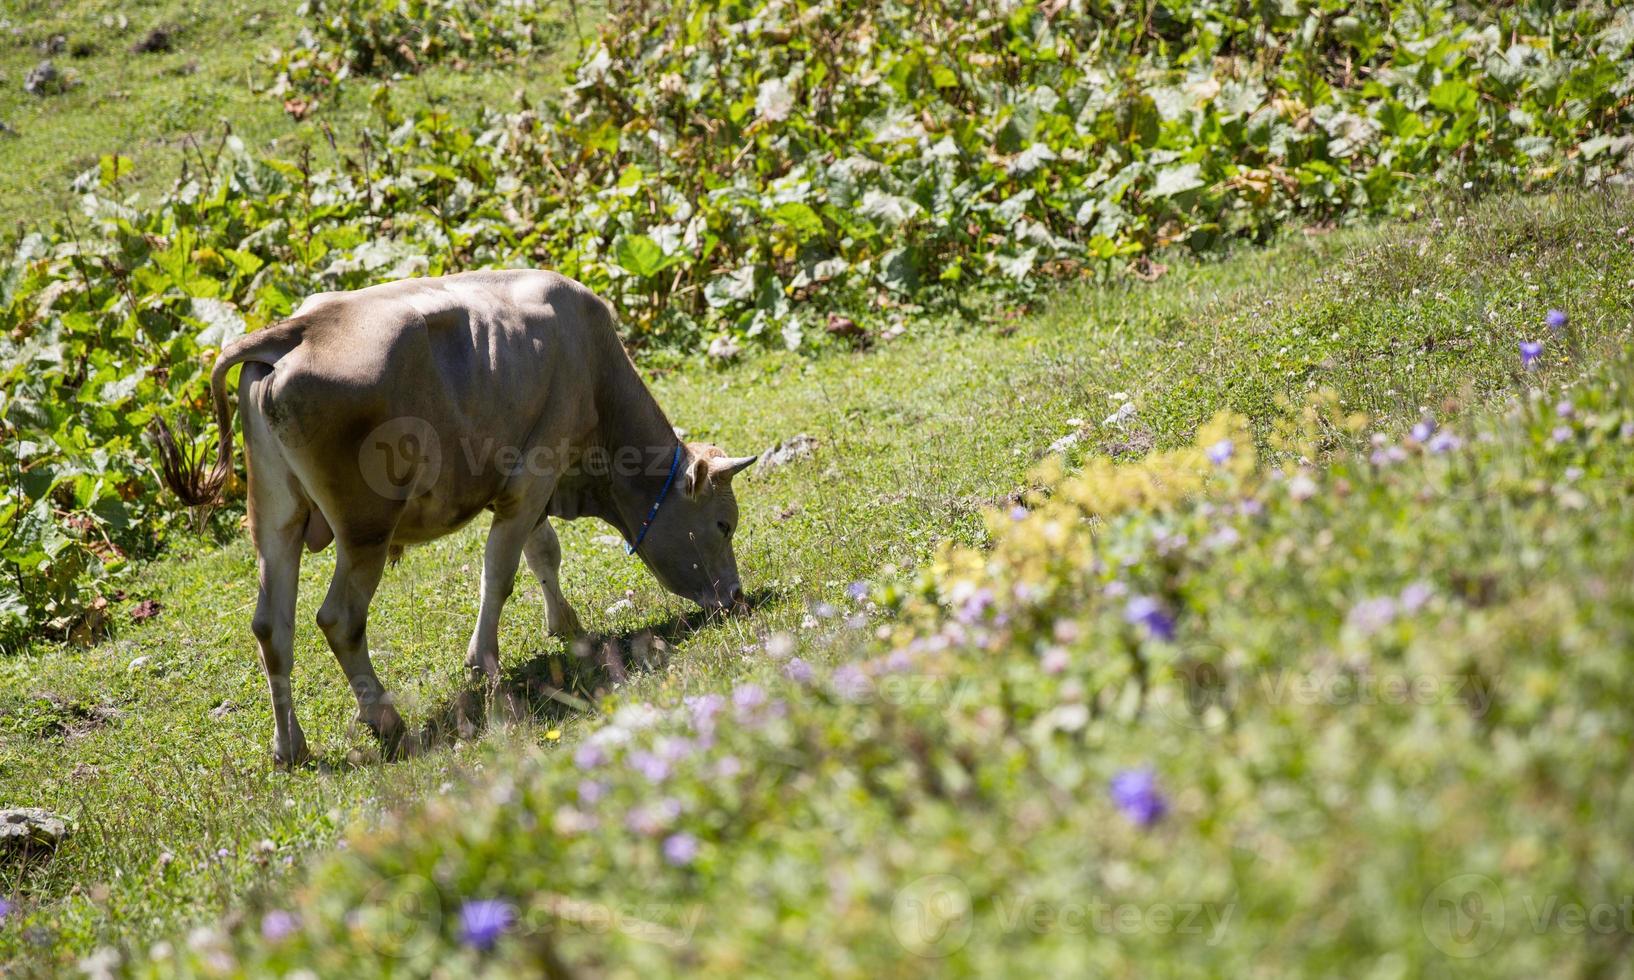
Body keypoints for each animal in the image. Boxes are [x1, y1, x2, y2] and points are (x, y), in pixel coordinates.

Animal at [156, 269, 754, 764]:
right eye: (724, 524)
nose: (735, 598)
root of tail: (301, 327)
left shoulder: (526, 487)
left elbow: (543, 553)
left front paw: (566, 626)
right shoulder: (534, 475)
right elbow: (501, 572)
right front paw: (483, 661)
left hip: (275, 521)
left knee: (271, 627)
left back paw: (290, 747)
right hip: (366, 527)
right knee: (339, 619)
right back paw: (385, 718)